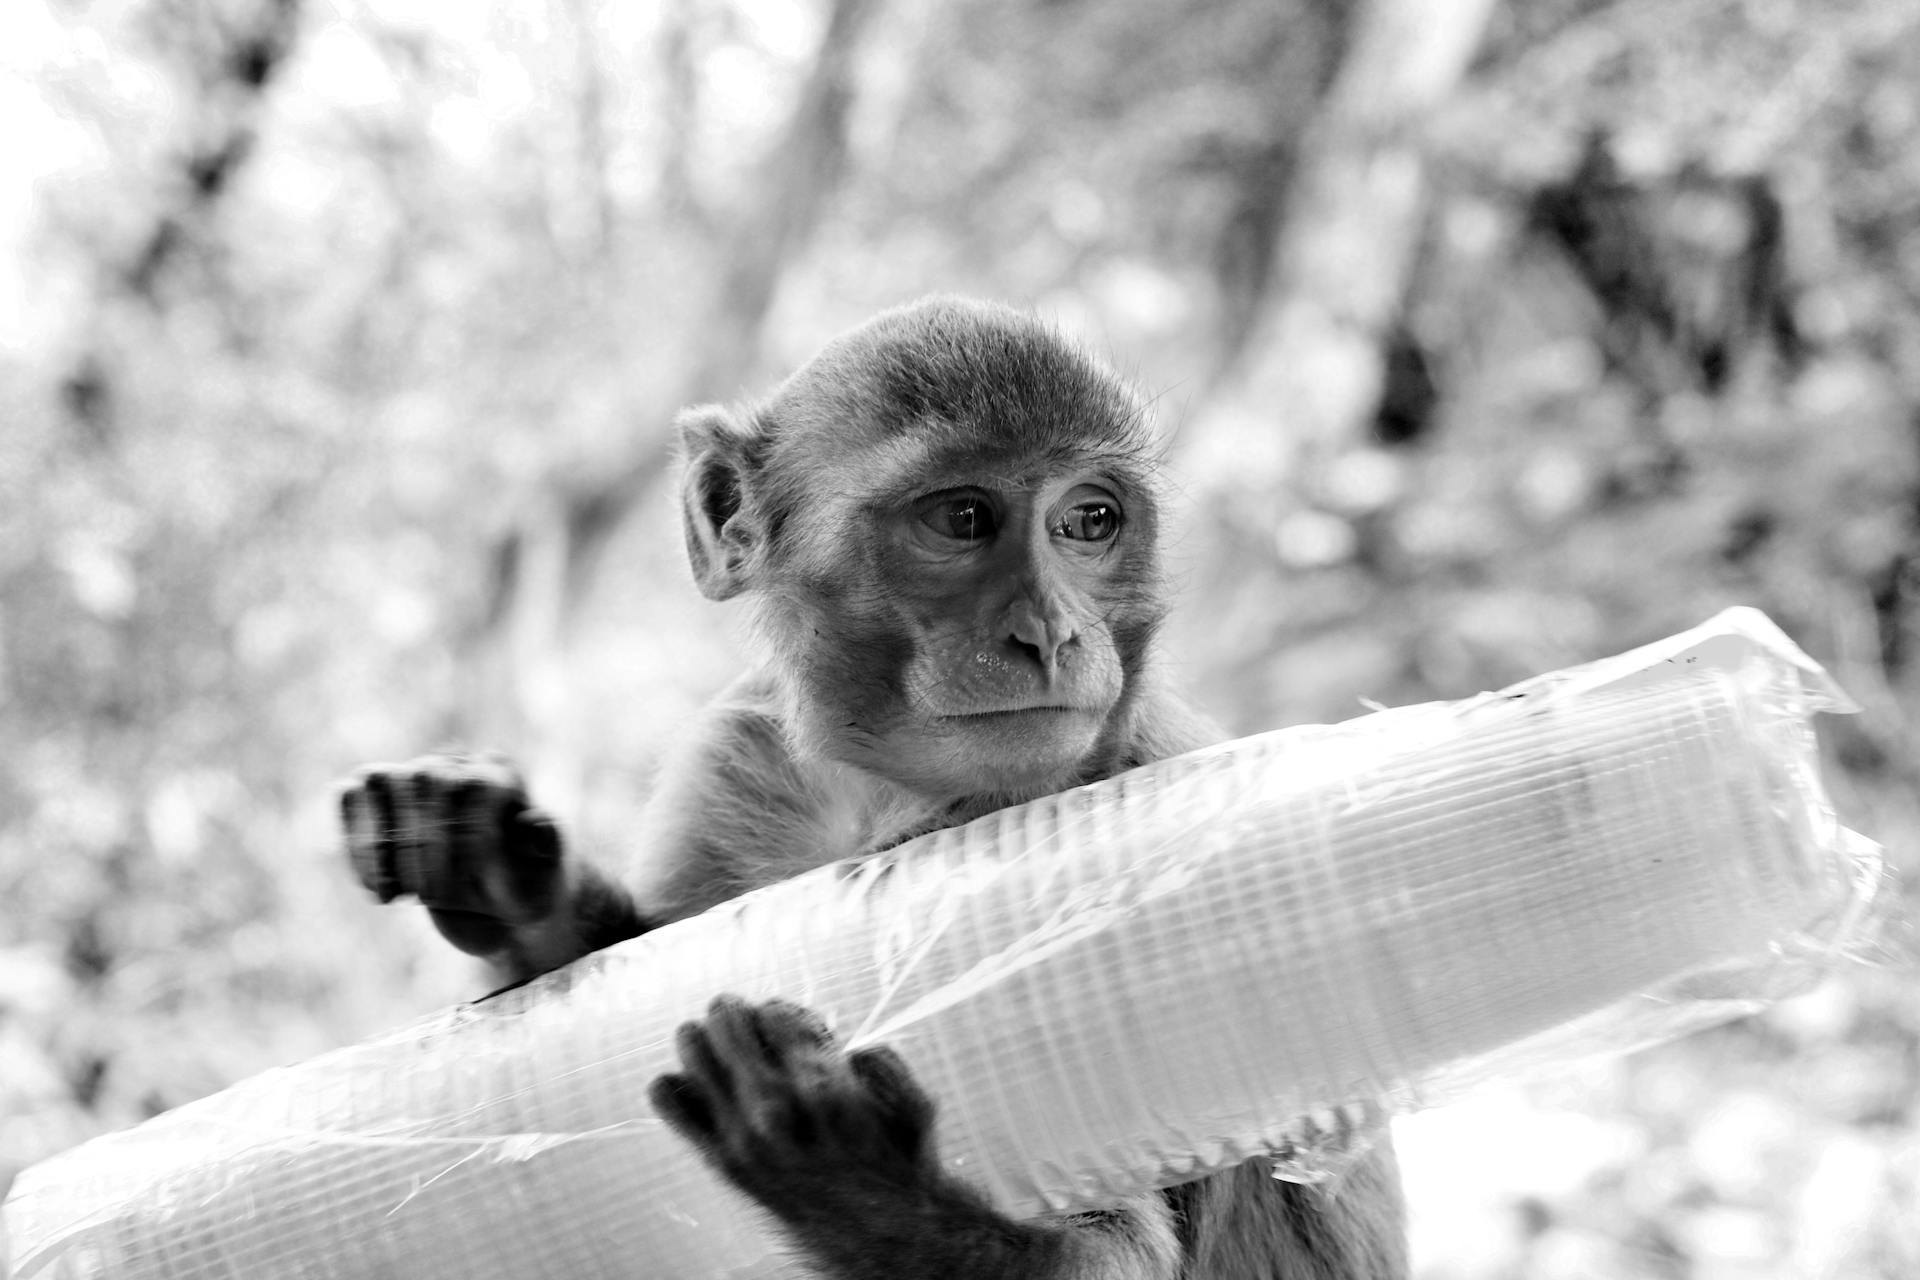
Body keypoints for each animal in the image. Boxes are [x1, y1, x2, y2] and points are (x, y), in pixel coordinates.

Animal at [337, 297, 1413, 1280]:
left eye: (1089, 520)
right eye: (963, 517)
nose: (1051, 633)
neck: (886, 794)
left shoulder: (1128, 784)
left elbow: (1118, 1257)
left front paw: (852, 1178)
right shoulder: (731, 755)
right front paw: (502, 875)